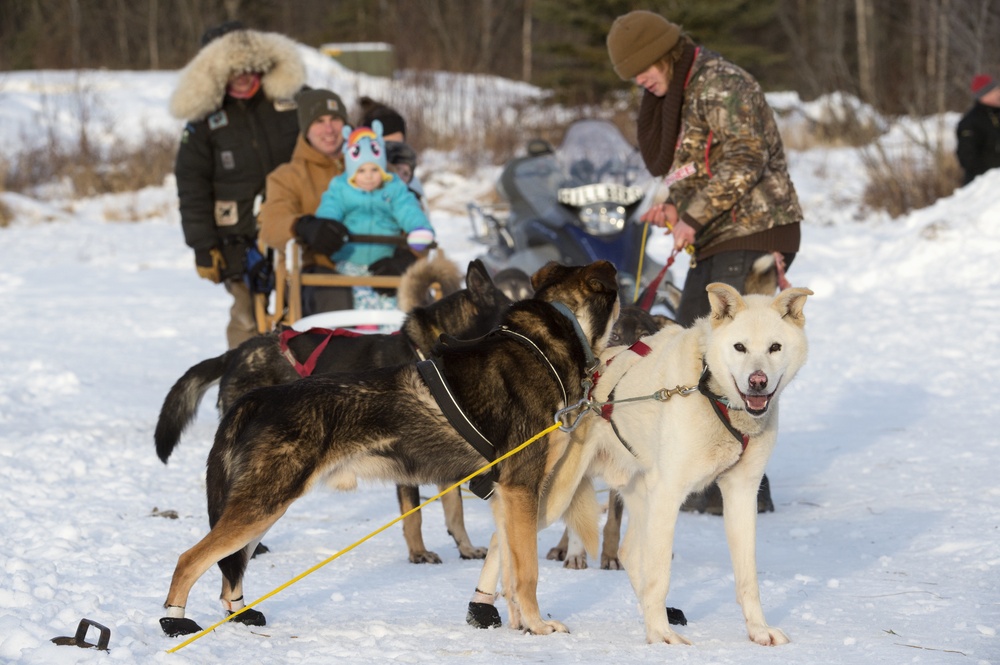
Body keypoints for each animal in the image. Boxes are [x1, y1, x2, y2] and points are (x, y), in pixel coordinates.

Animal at [470, 282, 812, 644]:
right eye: (740, 347)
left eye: (774, 347)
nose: (757, 381)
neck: (708, 389)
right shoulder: (669, 492)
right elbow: (660, 574)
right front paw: (661, 635)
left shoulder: (741, 491)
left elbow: (747, 578)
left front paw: (758, 630)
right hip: (555, 494)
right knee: (503, 538)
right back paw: (487, 608)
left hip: (636, 491)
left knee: (627, 552)